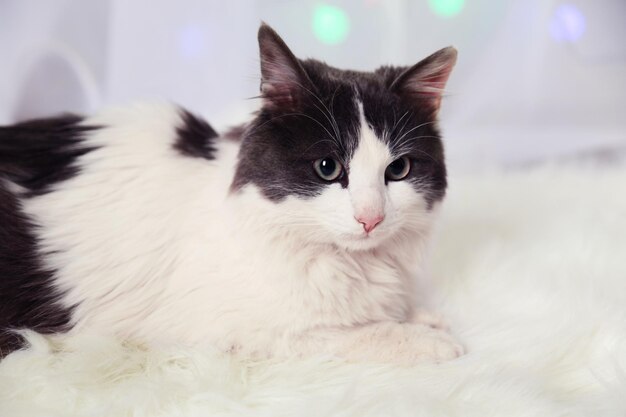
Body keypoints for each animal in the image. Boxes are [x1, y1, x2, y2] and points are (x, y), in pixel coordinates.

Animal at [0, 22, 458, 362]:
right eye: (328, 168)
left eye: (397, 170)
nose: (370, 218)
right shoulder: (248, 332)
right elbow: (360, 332)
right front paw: (427, 337)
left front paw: (422, 315)